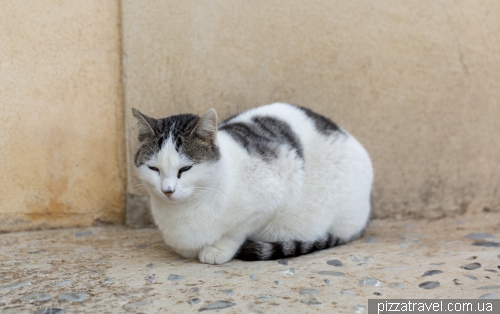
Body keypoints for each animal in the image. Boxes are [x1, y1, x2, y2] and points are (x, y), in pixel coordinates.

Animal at [131, 103, 374, 264]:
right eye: (154, 169)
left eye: (185, 169)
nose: (168, 191)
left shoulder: (270, 198)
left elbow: (236, 231)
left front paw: (217, 249)